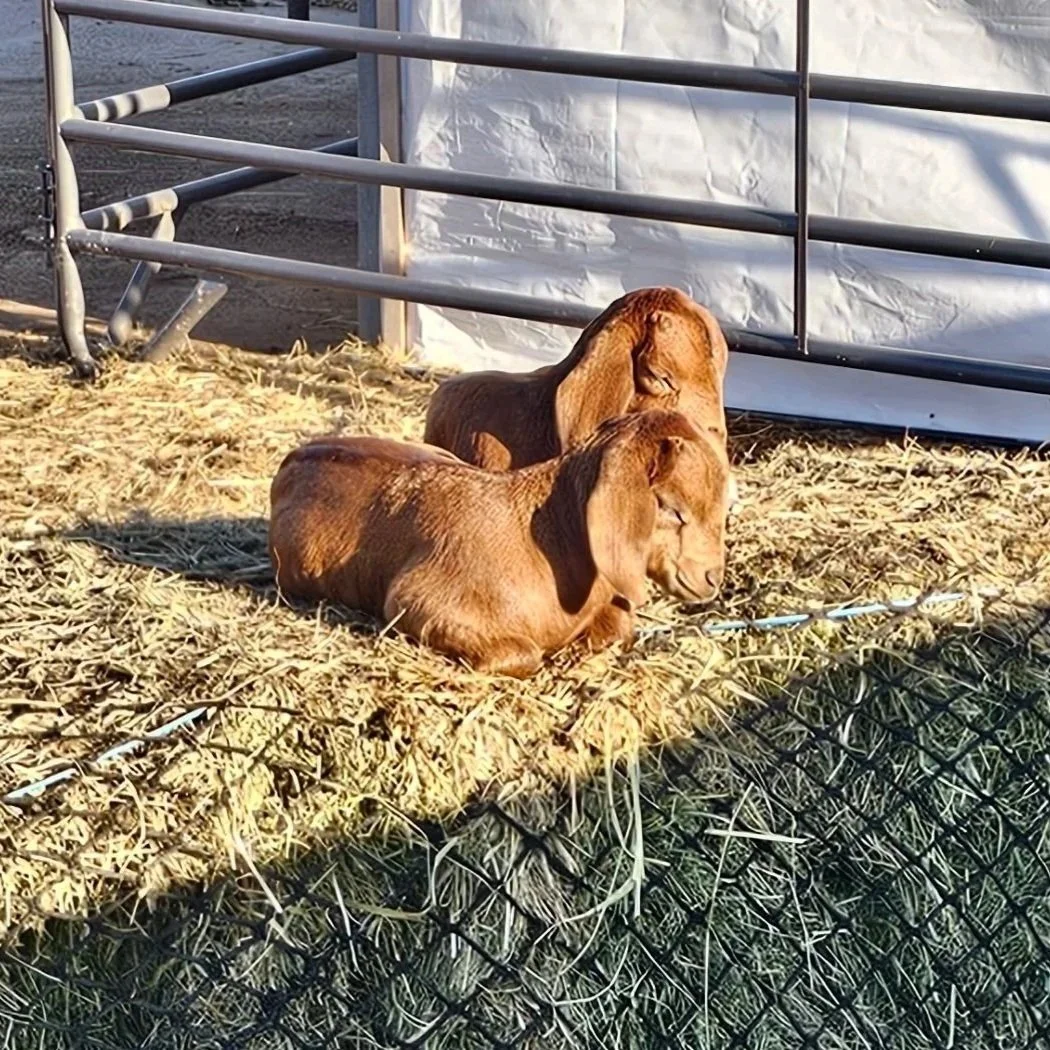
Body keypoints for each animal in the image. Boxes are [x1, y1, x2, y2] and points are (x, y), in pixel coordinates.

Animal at [269, 411, 732, 678]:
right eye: (671, 508)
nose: (712, 578)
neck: (548, 544)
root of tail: (295, 455)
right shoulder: (416, 601)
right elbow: (526, 655)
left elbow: (618, 627)